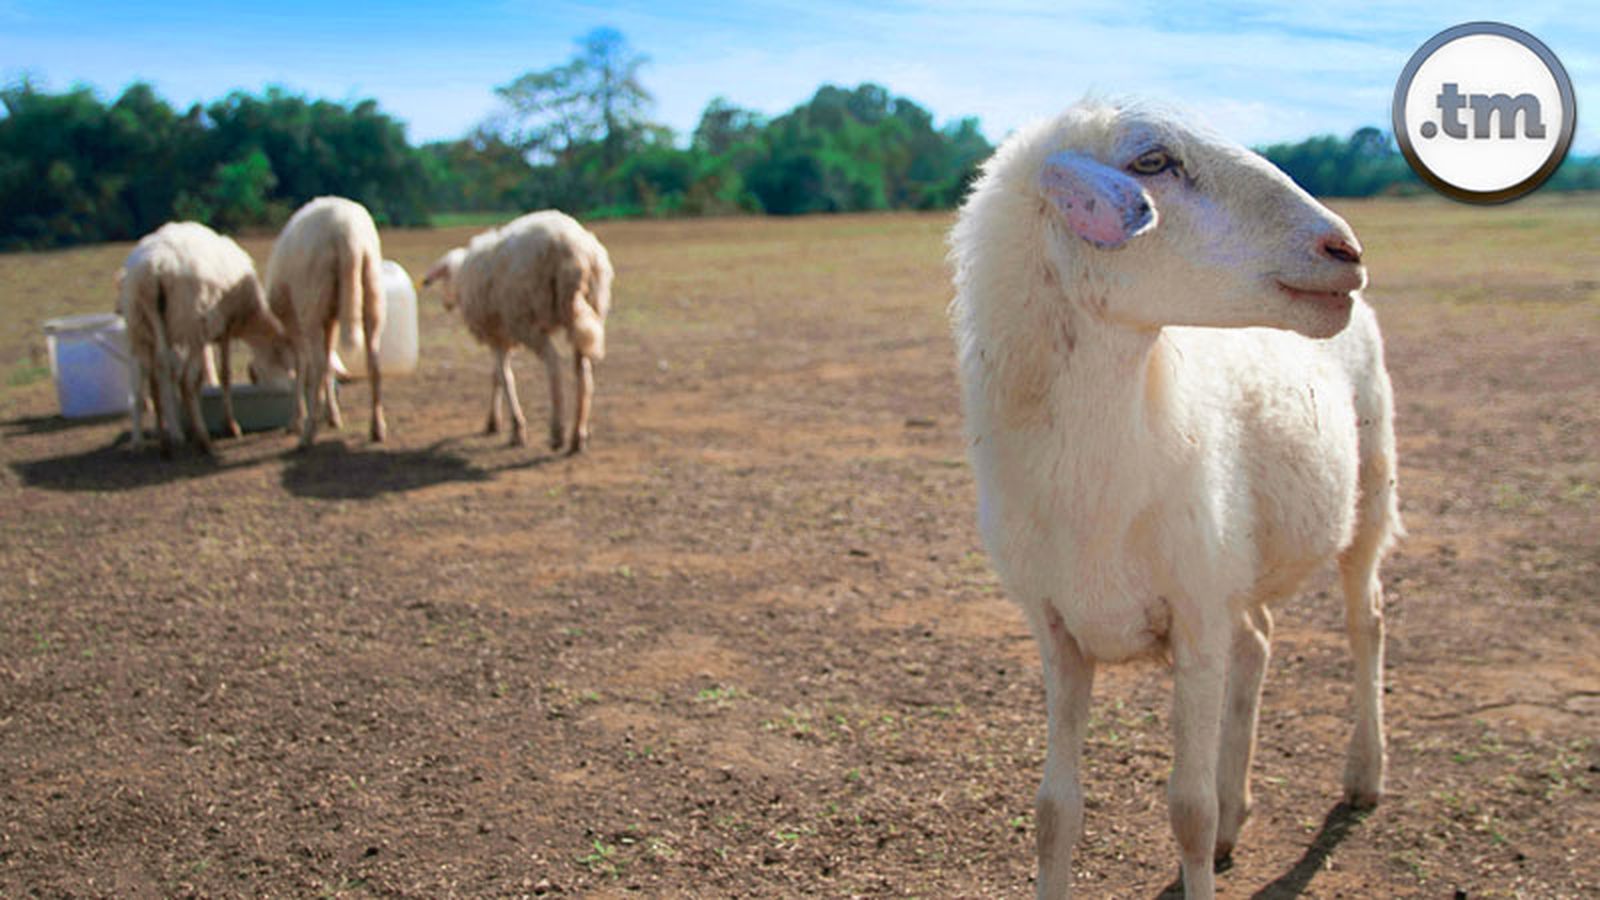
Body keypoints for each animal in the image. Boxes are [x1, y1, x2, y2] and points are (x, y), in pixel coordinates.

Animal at [116, 222, 286, 457]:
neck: (250, 318)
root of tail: (153, 269)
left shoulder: (206, 335)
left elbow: (203, 376)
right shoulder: (223, 327)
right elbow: (224, 375)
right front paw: (230, 425)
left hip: (140, 325)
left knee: (149, 378)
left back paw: (156, 441)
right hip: (191, 323)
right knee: (183, 380)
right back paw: (197, 440)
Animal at [255, 196, 387, 449]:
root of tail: (347, 233)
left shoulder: (295, 325)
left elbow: (302, 368)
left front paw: (297, 420)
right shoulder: (330, 320)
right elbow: (329, 363)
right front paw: (332, 415)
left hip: (311, 302)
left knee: (315, 366)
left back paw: (307, 435)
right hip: (371, 292)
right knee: (373, 362)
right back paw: (377, 429)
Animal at [422, 210, 613, 454]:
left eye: (442, 277)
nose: (446, 305)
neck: (460, 275)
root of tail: (573, 251)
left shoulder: (496, 334)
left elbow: (505, 377)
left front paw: (516, 429)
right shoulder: (503, 334)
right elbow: (496, 375)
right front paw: (493, 423)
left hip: (525, 318)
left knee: (553, 364)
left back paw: (557, 432)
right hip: (591, 307)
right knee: (583, 373)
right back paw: (578, 437)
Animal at [948, 100, 1401, 899]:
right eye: (1153, 162)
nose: (1345, 249)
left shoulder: (1193, 620)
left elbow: (1186, 811)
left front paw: (1204, 828)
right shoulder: (1059, 630)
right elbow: (1053, 812)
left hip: (1368, 492)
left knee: (1366, 620)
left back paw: (1363, 773)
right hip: (1231, 565)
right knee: (1258, 639)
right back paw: (1236, 814)